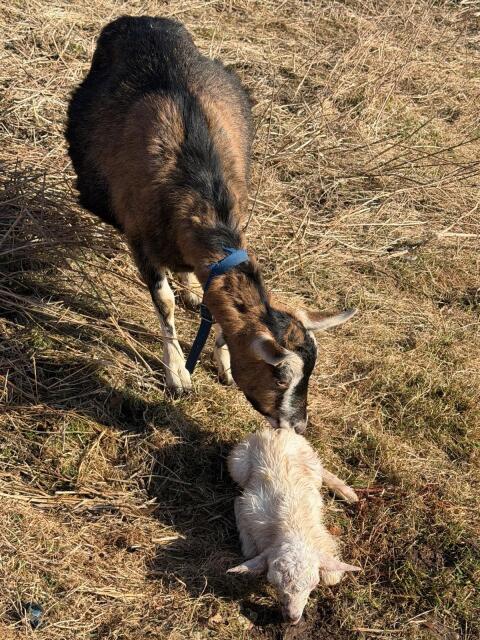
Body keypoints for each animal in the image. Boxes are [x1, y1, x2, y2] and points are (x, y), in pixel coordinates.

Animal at [65, 16, 356, 430]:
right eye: (279, 374)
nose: (297, 426)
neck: (197, 184)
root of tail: (142, 20)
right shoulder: (140, 240)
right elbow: (164, 303)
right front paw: (177, 375)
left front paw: (224, 365)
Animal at [227, 428, 360, 624]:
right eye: (273, 583)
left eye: (313, 585)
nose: (292, 618)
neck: (292, 527)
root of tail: (278, 431)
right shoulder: (249, 509)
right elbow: (249, 550)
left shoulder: (320, 536)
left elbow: (332, 577)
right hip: (239, 462)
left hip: (308, 455)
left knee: (320, 468)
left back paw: (346, 492)